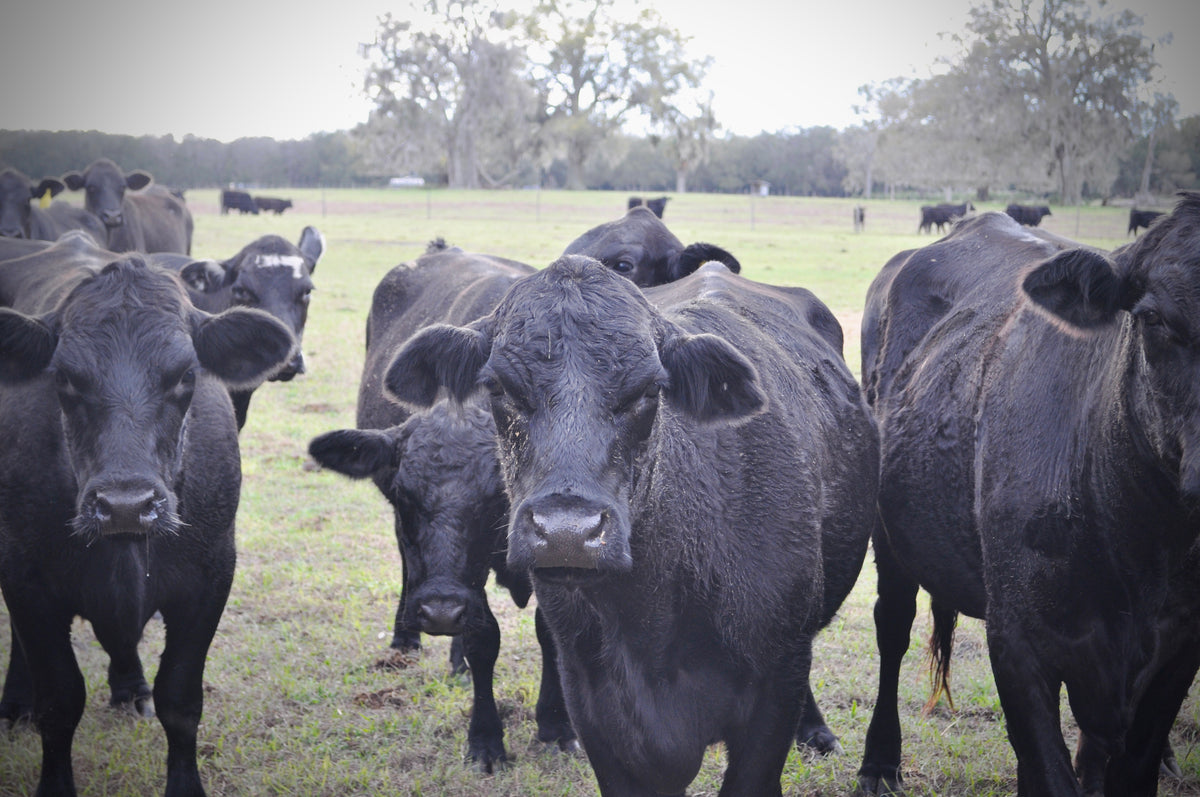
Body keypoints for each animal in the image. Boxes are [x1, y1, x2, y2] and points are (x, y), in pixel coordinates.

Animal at [0, 243, 294, 795]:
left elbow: (179, 699)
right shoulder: (26, 578)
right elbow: (59, 701)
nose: (125, 504)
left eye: (186, 375)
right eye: (64, 377)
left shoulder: (210, 577)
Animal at [306, 245, 576, 771]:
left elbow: (550, 632)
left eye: (494, 498)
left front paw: (557, 725)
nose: (440, 611)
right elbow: (483, 638)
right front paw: (485, 739)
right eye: (404, 494)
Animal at [383, 256, 879, 795]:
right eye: (498, 387)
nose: (567, 533)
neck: (653, 621)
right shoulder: (594, 706)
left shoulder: (774, 691)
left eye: (648, 390)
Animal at [855, 198, 1200, 796]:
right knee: (893, 626)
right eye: (1154, 318)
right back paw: (879, 762)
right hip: (889, 535)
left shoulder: (1179, 650)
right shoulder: (1017, 641)